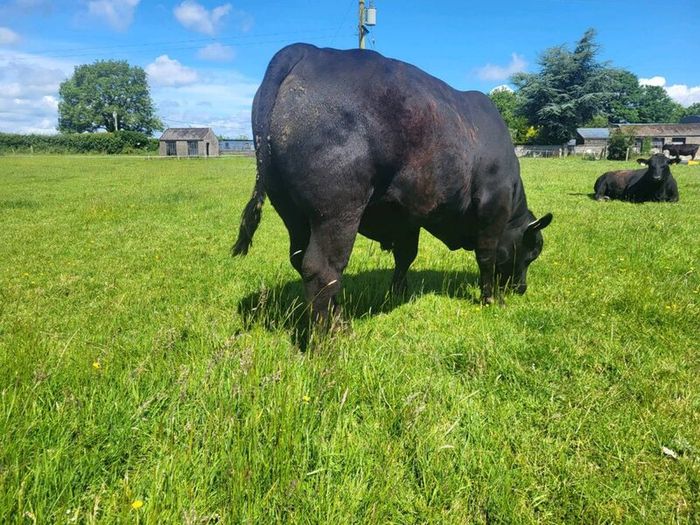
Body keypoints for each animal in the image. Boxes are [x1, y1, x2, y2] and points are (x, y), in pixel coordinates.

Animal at [232, 43, 552, 324]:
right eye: (532, 252)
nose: (521, 288)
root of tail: (309, 50)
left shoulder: (408, 215)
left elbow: (405, 255)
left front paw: (398, 292)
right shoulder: (492, 205)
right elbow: (487, 257)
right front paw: (492, 299)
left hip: (291, 210)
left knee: (300, 259)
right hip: (336, 212)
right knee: (322, 269)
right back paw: (331, 335)